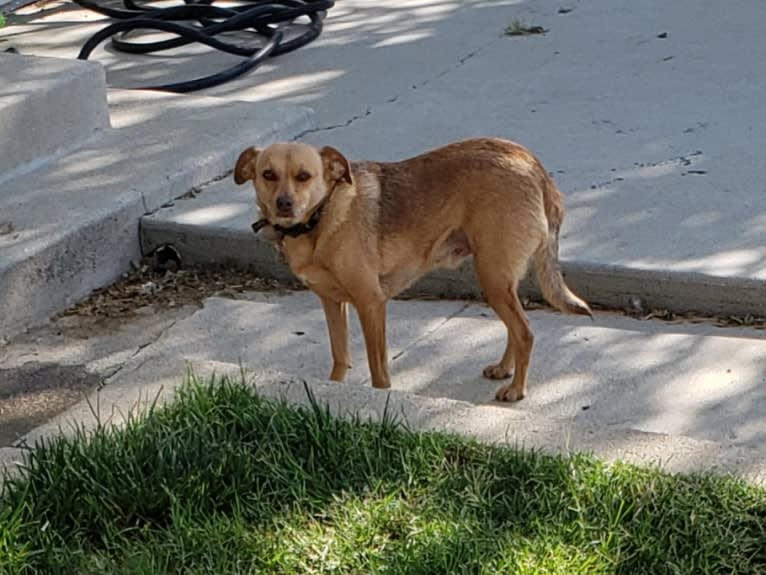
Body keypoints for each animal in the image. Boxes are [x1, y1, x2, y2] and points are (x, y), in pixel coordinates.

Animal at [237, 138, 592, 400]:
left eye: (304, 176)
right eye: (267, 174)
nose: (284, 204)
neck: (320, 219)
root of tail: (533, 164)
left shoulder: (371, 303)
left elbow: (378, 369)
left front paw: (381, 400)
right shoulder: (332, 303)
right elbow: (340, 356)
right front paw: (332, 390)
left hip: (491, 276)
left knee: (525, 331)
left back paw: (517, 389)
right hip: (497, 277)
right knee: (516, 328)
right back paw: (504, 369)